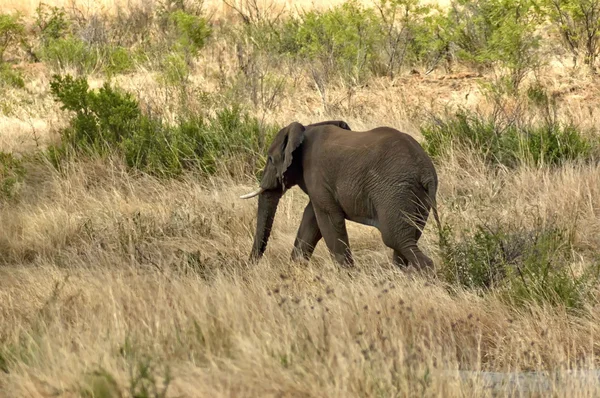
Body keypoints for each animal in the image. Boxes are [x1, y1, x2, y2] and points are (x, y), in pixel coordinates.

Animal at [239, 119, 440, 268]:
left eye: (270, 159)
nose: (249, 268)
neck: (306, 128)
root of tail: (426, 170)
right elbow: (311, 222)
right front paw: (294, 271)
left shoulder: (317, 174)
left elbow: (328, 221)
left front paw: (348, 276)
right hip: (417, 197)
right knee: (408, 237)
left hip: (394, 191)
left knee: (396, 239)